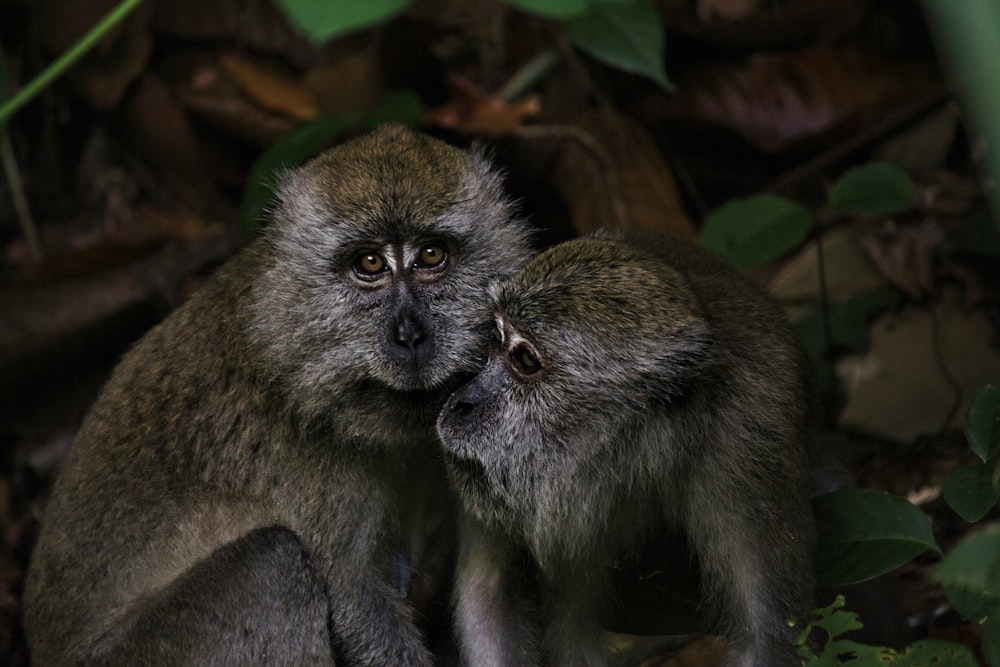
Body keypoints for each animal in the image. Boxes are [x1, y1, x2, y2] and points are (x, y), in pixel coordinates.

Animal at [23, 122, 536, 664]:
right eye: (369, 263)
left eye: (432, 256)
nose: (410, 335)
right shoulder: (319, 470)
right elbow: (356, 600)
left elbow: (489, 595)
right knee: (272, 564)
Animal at [436, 231, 812, 667]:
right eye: (495, 337)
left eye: (525, 359)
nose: (460, 402)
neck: (633, 452)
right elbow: (491, 595)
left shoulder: (750, 451)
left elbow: (768, 639)